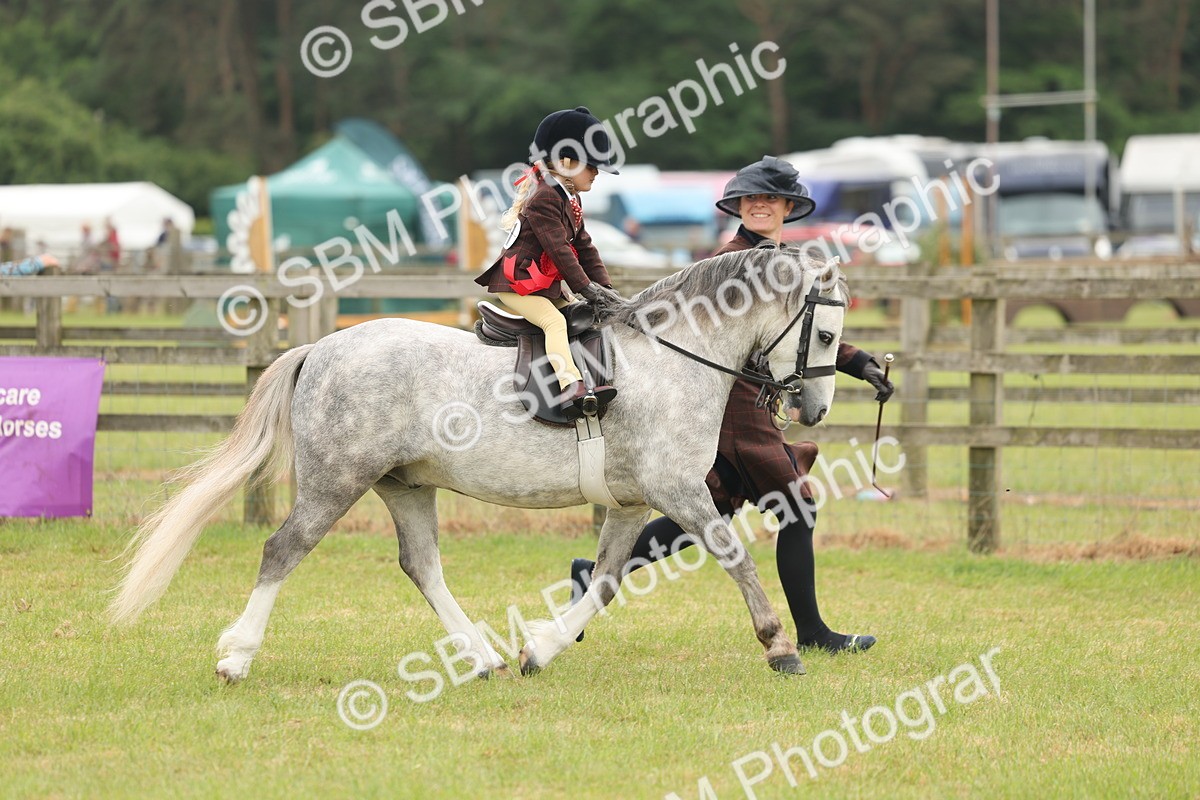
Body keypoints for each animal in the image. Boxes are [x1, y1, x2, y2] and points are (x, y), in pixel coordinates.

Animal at [108, 244, 848, 682]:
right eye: (827, 332)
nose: (812, 409)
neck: (673, 356)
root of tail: (321, 348)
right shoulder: (680, 491)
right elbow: (736, 558)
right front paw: (780, 647)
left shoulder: (634, 501)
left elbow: (608, 580)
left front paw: (539, 649)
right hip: (335, 483)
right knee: (282, 550)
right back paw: (236, 656)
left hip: (404, 486)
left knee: (421, 565)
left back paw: (483, 654)